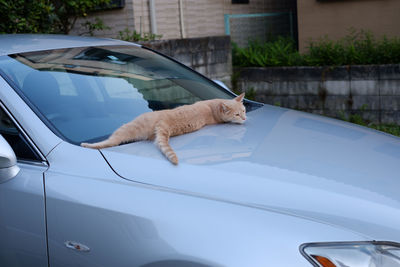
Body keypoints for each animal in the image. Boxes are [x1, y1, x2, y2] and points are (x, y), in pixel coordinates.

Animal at [80, 94, 247, 165]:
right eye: (239, 114)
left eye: (243, 111)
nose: (245, 118)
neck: (212, 108)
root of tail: (167, 123)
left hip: (129, 127)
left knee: (111, 141)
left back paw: (87, 144)